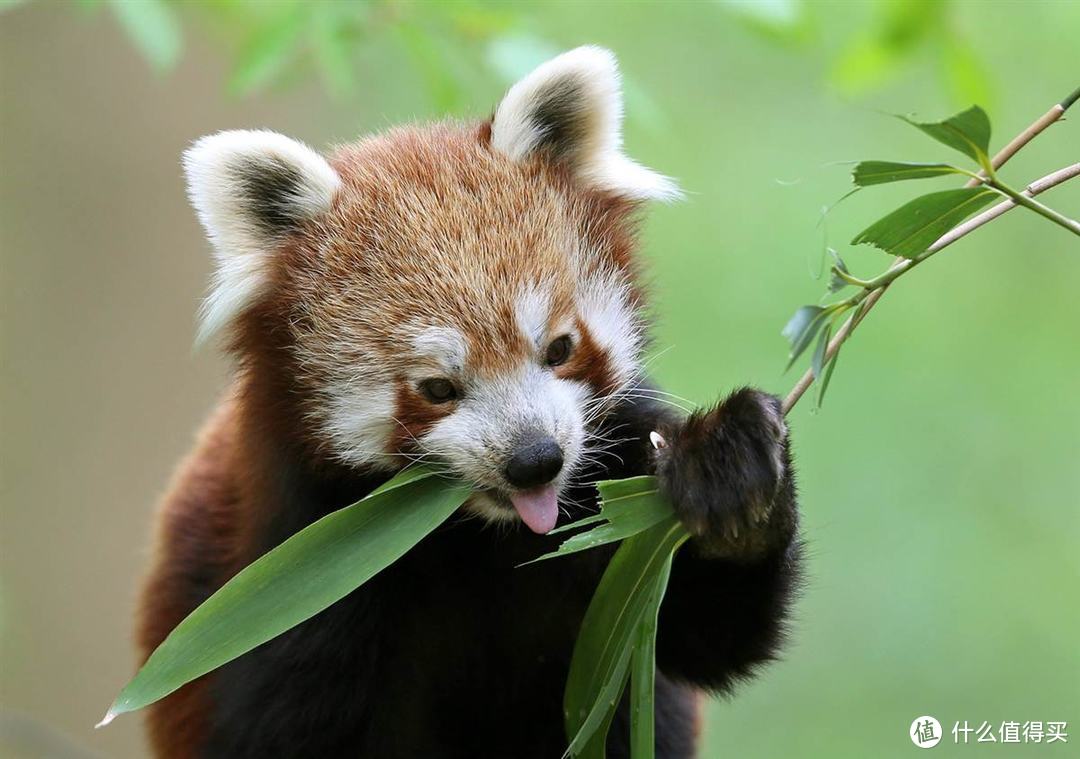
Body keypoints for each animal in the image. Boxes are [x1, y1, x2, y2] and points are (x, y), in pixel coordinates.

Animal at [135, 49, 799, 759]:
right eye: (437, 389)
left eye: (560, 348)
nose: (536, 460)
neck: (489, 541)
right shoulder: (289, 568)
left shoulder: (622, 471)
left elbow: (706, 633)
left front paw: (730, 472)